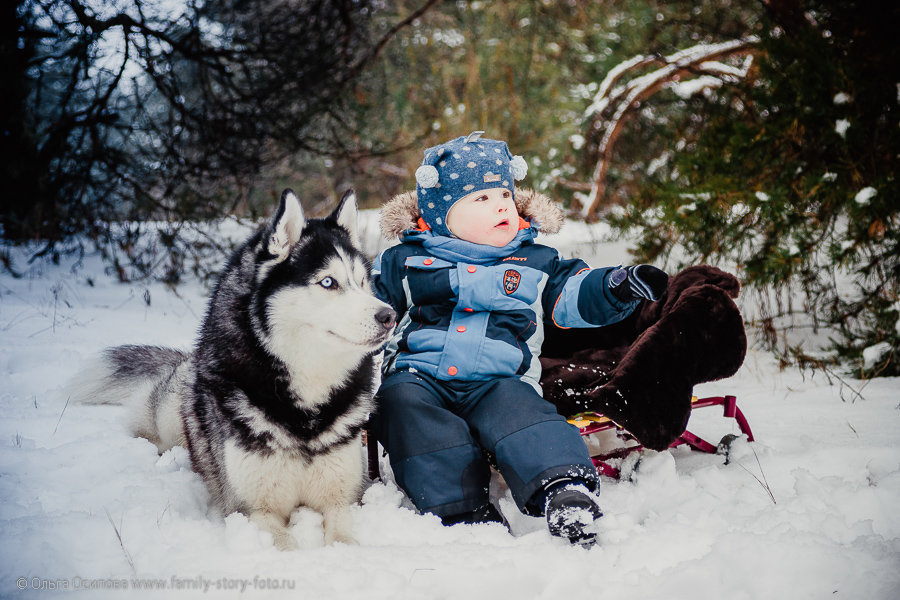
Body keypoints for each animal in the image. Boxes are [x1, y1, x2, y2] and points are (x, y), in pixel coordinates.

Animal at [75, 191, 400, 548]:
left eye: (362, 282)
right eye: (328, 282)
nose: (389, 316)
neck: (305, 410)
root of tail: (186, 359)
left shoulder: (342, 499)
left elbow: (343, 539)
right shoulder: (252, 510)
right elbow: (285, 545)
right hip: (171, 416)